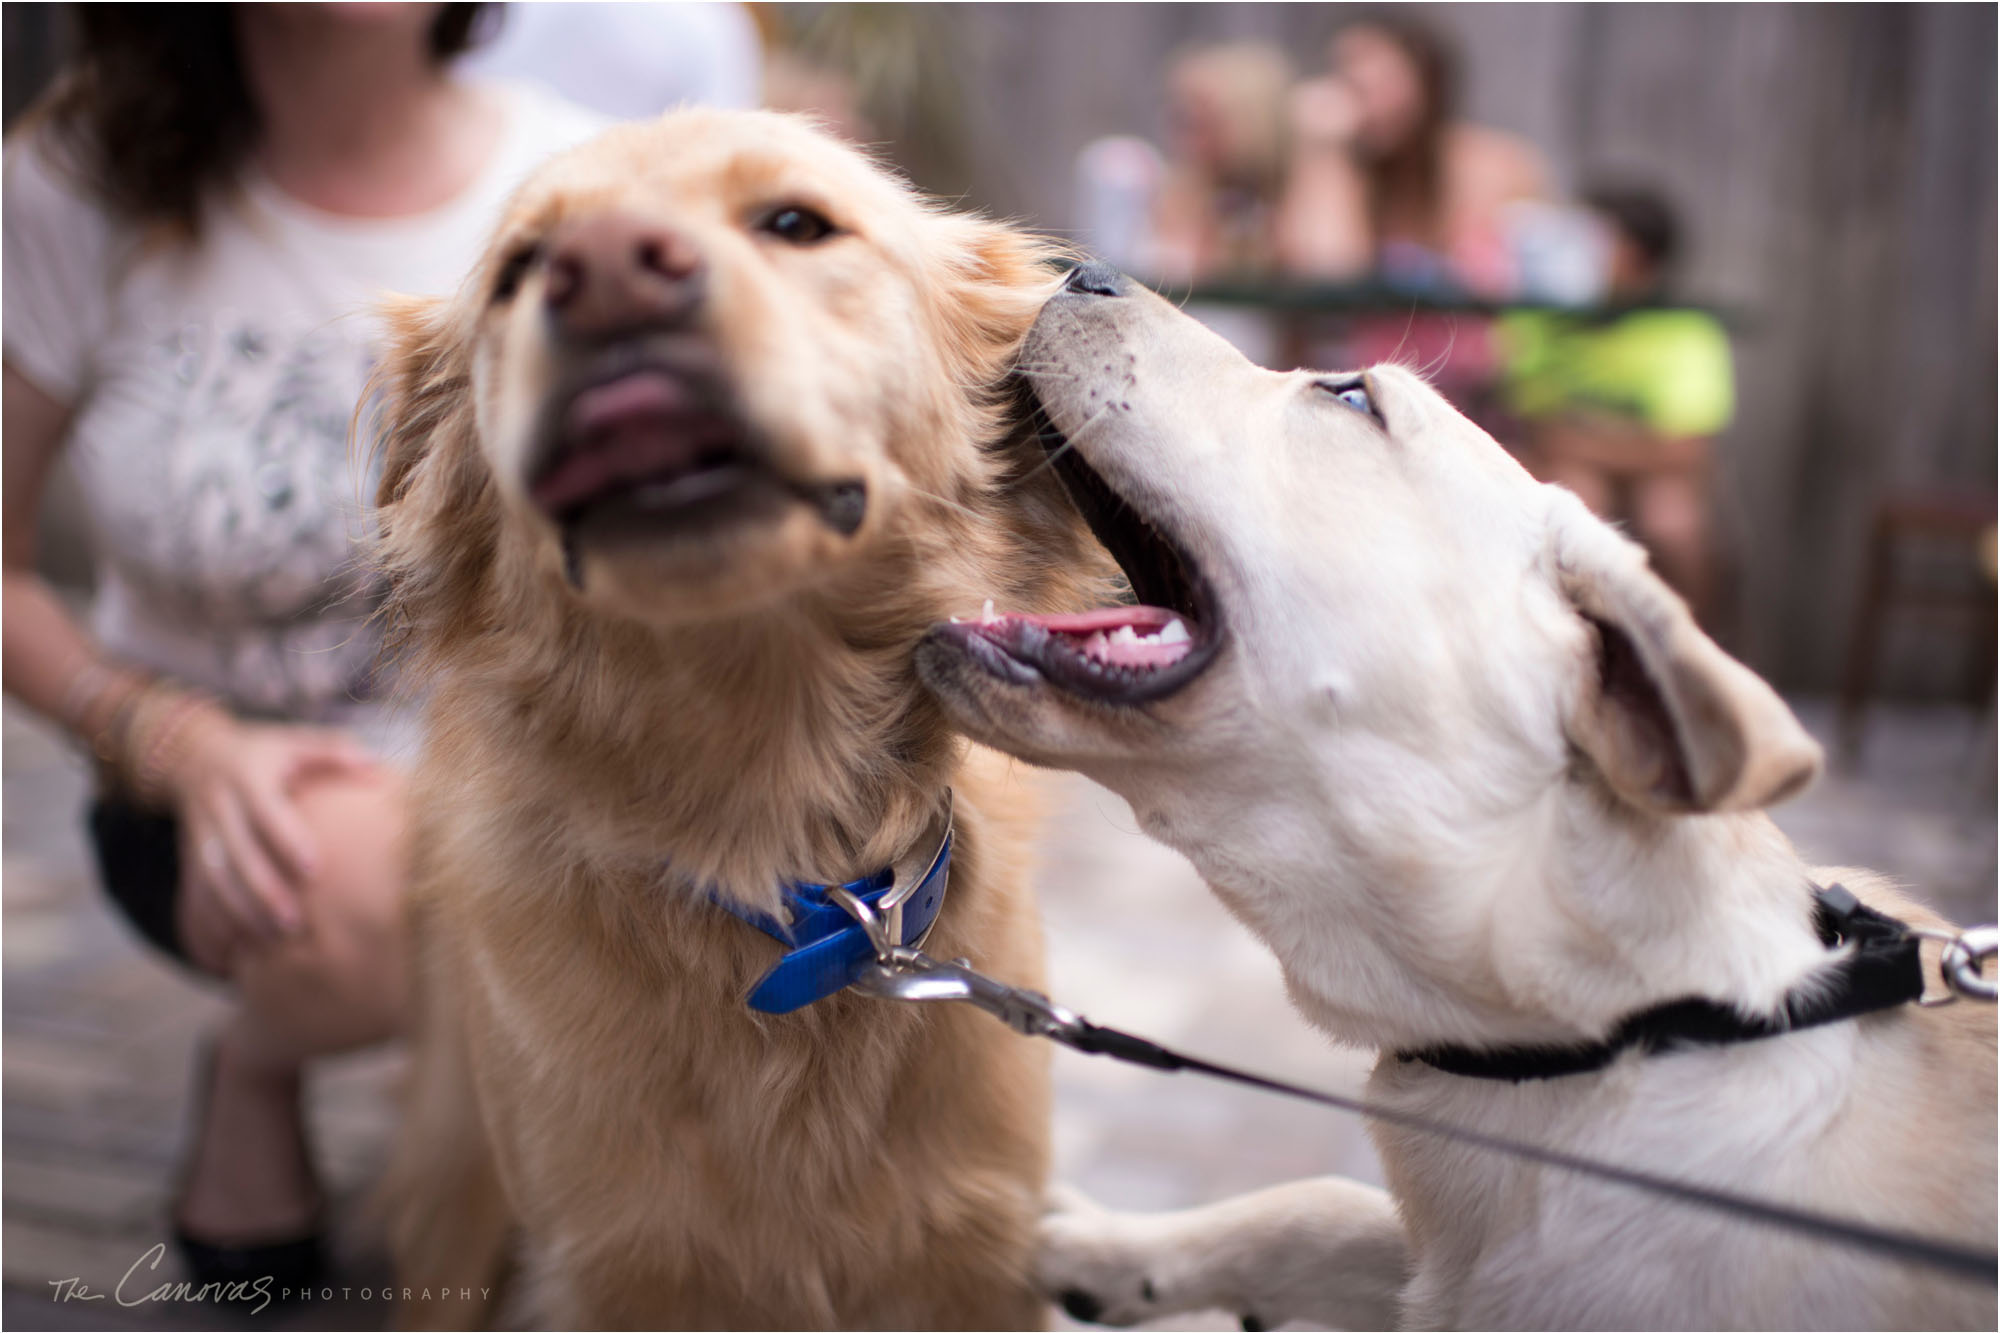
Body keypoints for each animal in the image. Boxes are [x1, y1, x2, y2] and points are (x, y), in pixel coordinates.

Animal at [364, 109, 1112, 1320]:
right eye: (520, 269)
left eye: (796, 223)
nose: (606, 269)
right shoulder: (614, 1264)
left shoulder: (980, 1250)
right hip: (452, 1169)